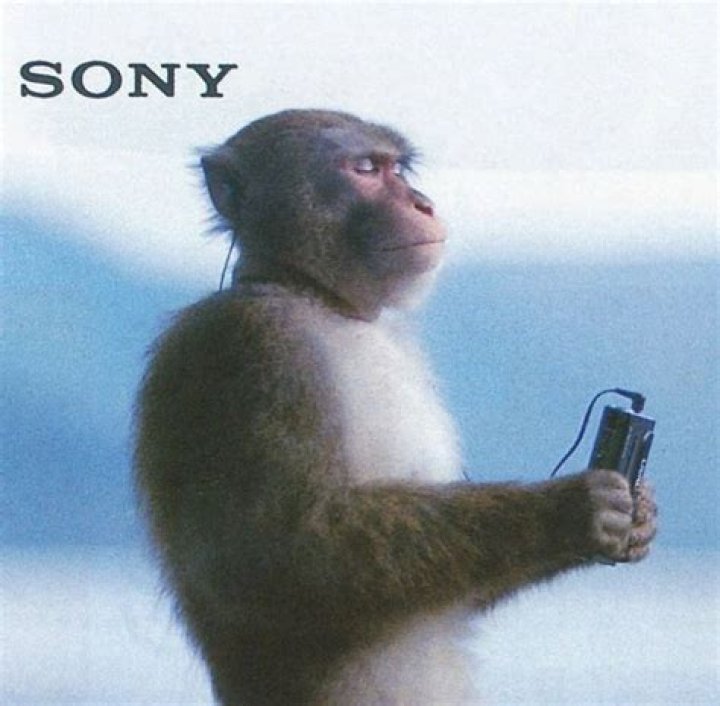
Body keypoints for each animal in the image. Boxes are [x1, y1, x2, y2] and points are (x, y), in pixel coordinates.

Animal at [134, 109, 657, 705]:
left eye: (399, 169)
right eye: (365, 168)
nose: (422, 203)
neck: (315, 296)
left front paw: (637, 510)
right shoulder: (252, 348)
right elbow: (272, 561)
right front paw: (573, 510)